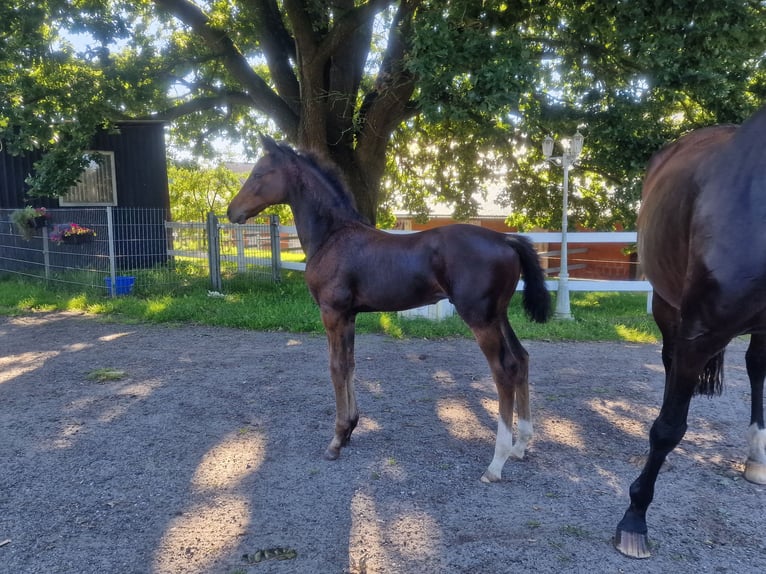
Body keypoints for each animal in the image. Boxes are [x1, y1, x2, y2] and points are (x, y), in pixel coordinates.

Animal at [228, 137, 552, 484]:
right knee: (521, 359)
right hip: (499, 315)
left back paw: (496, 463)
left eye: (259, 173)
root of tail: (506, 239)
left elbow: (336, 367)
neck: (332, 235)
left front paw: (336, 440)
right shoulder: (350, 315)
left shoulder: (332, 313)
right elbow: (350, 365)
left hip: (480, 318)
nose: (231, 211)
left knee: (504, 371)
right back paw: (520, 445)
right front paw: (350, 429)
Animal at [616, 106, 766, 560]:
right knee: (670, 361)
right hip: (668, 304)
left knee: (755, 365)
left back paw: (757, 455)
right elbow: (668, 428)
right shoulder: (700, 332)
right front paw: (635, 519)